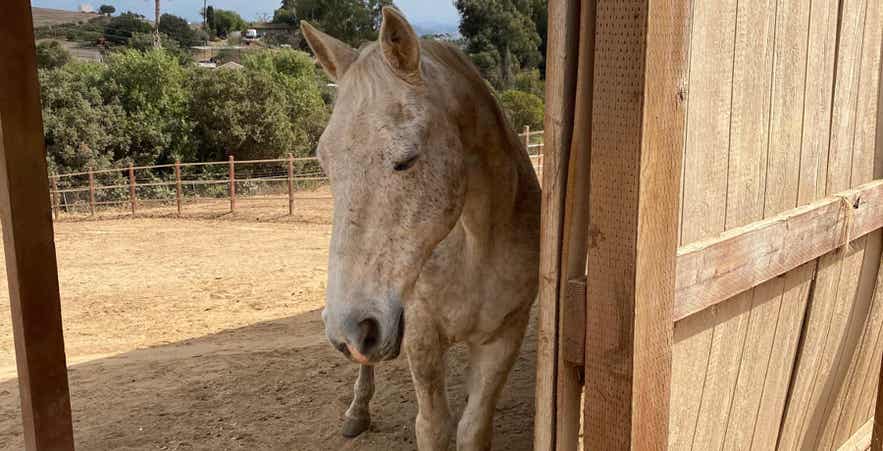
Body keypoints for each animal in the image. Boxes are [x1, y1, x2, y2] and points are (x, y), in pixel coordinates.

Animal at [301, 8, 540, 450]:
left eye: (407, 159)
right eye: (325, 163)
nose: (349, 329)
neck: (476, 247)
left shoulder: (504, 336)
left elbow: (473, 428)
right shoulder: (421, 336)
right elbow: (433, 427)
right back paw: (357, 412)